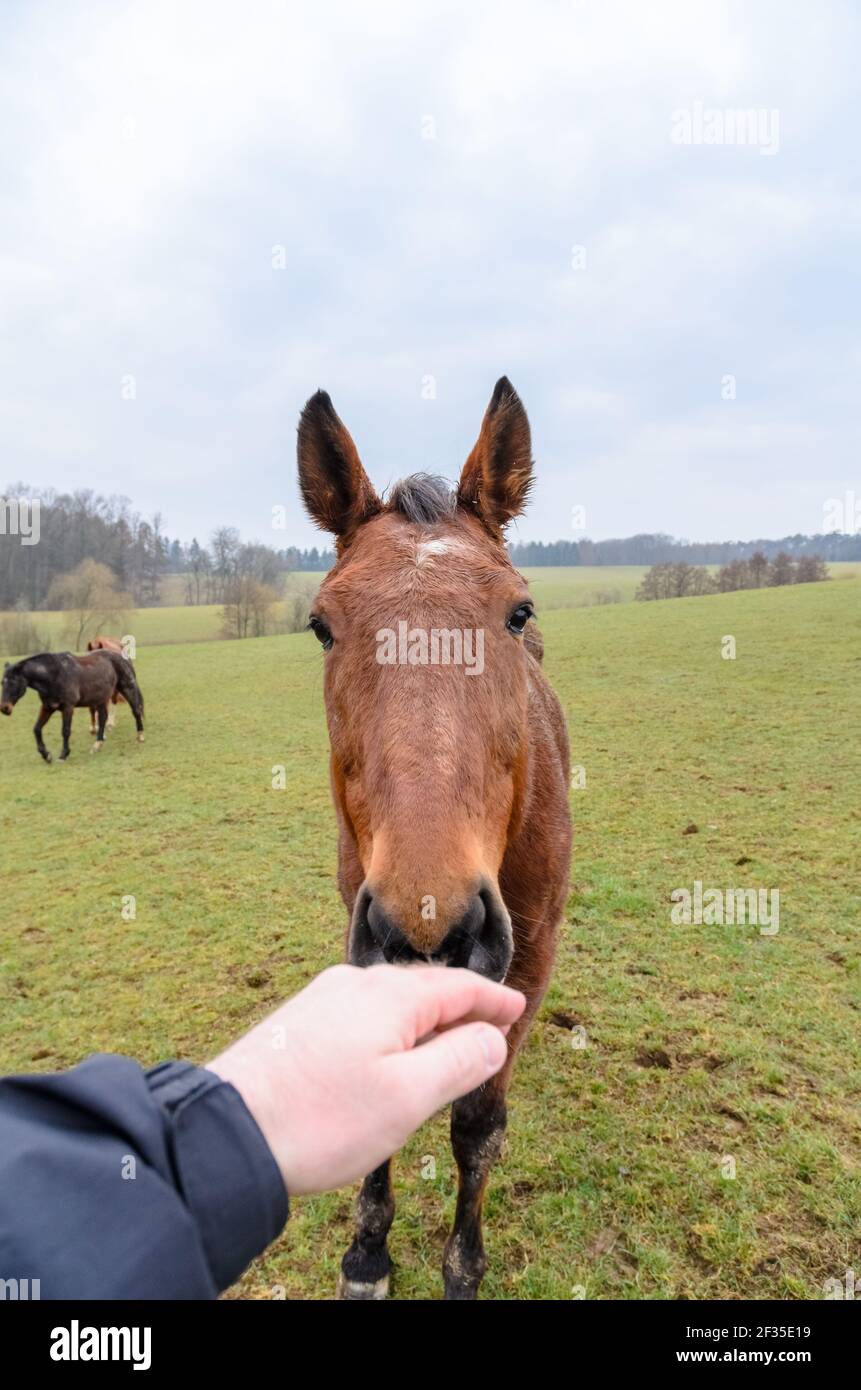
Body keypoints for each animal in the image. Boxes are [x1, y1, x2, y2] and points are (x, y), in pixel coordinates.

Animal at [0, 647, 145, 761]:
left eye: (13, 682)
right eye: (2, 682)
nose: (4, 708)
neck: (53, 676)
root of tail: (123, 657)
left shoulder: (68, 707)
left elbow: (65, 730)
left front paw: (63, 754)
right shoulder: (47, 707)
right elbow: (36, 729)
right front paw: (46, 755)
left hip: (127, 688)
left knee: (136, 710)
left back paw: (140, 736)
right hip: (101, 698)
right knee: (103, 718)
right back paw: (97, 745)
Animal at [296, 375, 573, 1295]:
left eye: (516, 612)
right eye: (321, 625)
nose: (432, 923)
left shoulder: (526, 960)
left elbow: (477, 1128)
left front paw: (461, 1266)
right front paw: (367, 1251)